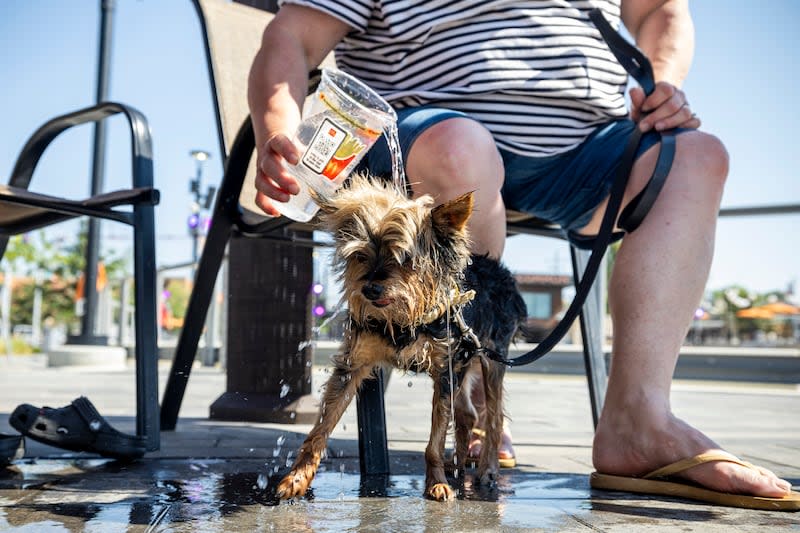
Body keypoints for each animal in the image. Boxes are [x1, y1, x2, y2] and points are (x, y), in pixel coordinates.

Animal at [276, 174, 524, 498]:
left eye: (404, 259)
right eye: (360, 256)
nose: (370, 289)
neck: (405, 318)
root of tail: (501, 272)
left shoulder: (446, 369)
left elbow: (435, 439)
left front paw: (437, 483)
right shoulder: (354, 362)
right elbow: (322, 426)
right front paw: (297, 477)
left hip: (491, 357)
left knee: (493, 417)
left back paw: (487, 469)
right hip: (466, 358)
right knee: (468, 414)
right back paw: (458, 462)